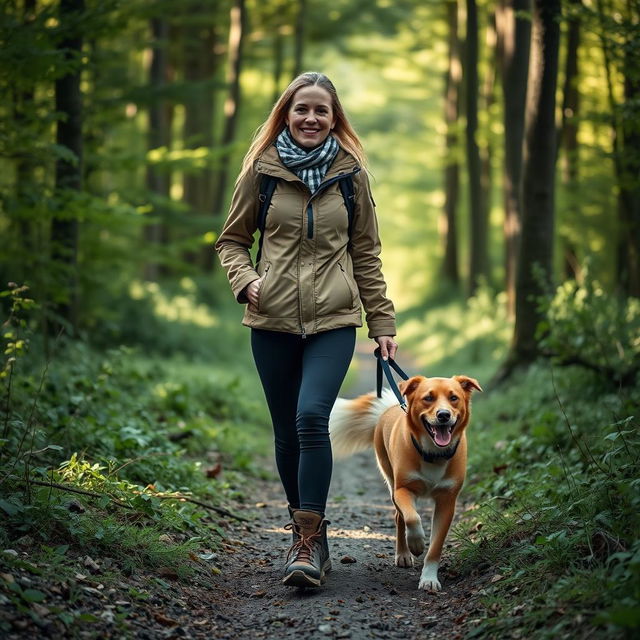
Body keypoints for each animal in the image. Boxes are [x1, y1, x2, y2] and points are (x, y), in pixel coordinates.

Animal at [330, 376, 480, 592]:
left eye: (454, 398)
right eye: (428, 398)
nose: (443, 415)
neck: (433, 454)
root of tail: (390, 408)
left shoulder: (447, 501)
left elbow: (435, 547)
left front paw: (429, 578)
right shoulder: (403, 490)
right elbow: (412, 518)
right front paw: (416, 544)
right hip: (391, 481)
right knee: (399, 517)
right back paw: (403, 553)